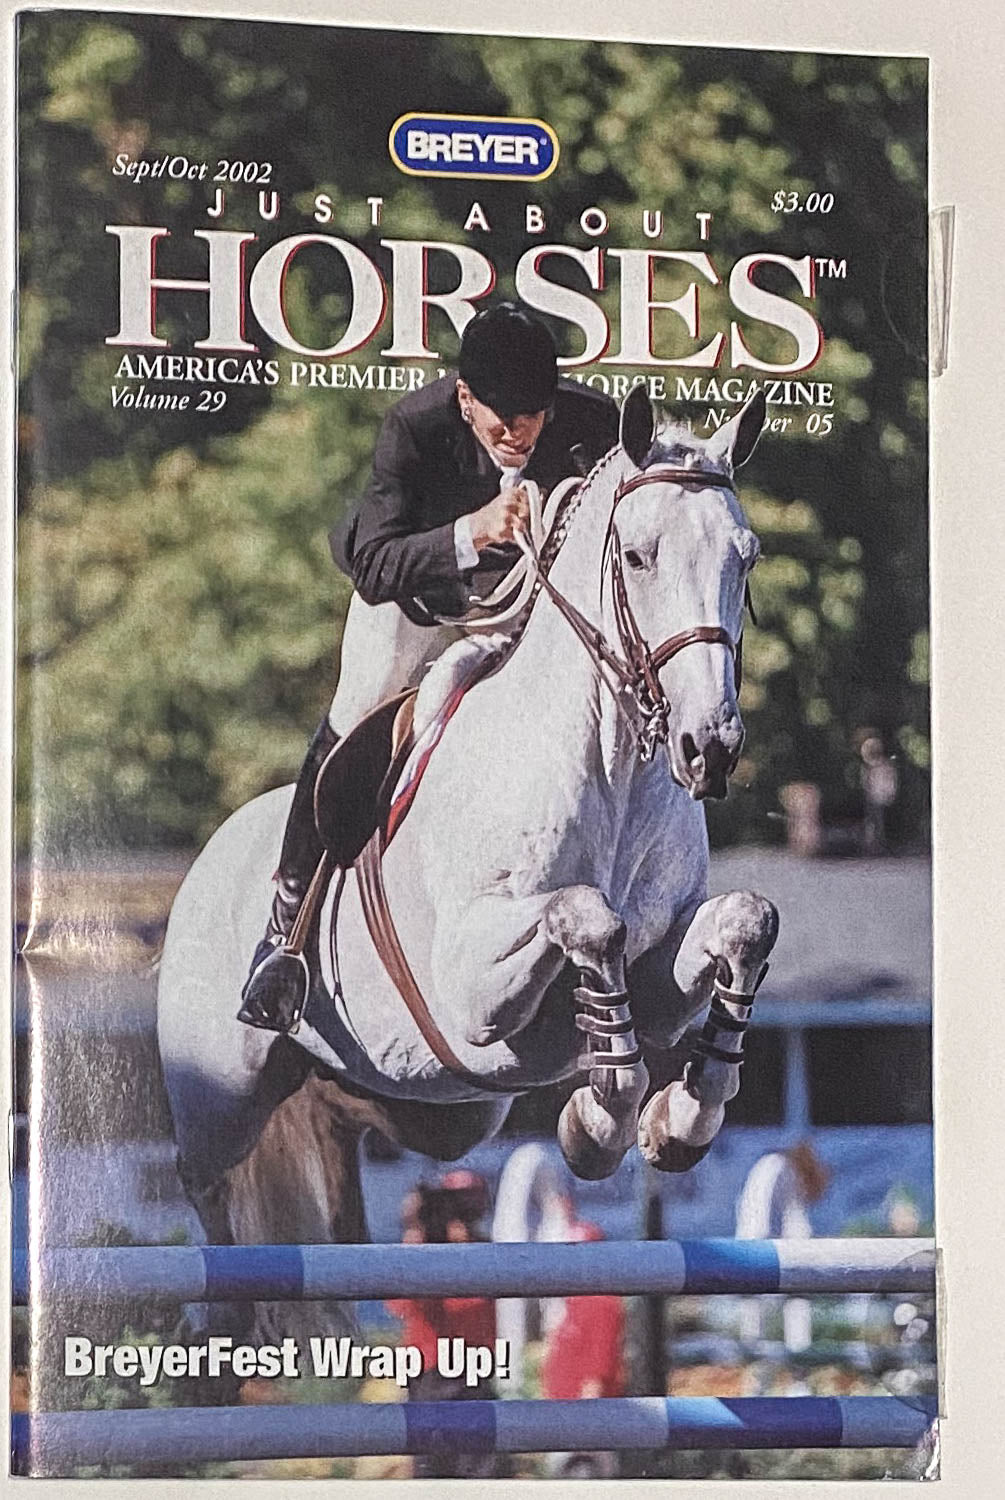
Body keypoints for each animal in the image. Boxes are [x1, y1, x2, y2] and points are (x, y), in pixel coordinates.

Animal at [157, 386, 779, 1304]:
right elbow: (588, 916)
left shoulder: (660, 982)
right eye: (637, 557)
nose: (711, 748)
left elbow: (741, 920)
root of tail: (210, 855)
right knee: (207, 1187)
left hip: (433, 1110)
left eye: (746, 558)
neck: (611, 770)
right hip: (221, 1098)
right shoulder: (469, 988)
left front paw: (675, 1120)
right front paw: (598, 1121)